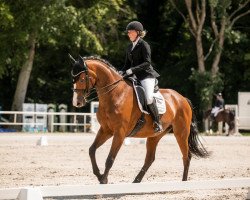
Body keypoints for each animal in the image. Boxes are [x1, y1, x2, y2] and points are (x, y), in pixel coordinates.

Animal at [70, 55, 209, 184]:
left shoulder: (119, 133)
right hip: (155, 136)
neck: (115, 94)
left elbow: (110, 158)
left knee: (186, 156)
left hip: (181, 133)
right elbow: (91, 150)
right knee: (150, 159)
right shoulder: (106, 130)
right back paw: (136, 180)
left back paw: (183, 181)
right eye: (73, 80)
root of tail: (182, 98)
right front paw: (99, 175)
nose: (77, 102)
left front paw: (103, 180)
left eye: (82, 79)